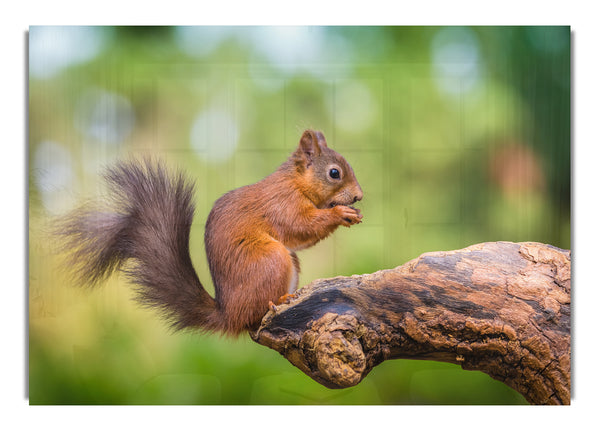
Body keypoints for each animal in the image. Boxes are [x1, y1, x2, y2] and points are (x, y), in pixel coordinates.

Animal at [58, 130, 364, 336]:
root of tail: (228, 315)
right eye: (334, 173)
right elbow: (301, 226)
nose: (359, 197)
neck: (296, 182)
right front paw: (341, 214)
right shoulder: (283, 205)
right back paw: (279, 301)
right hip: (270, 259)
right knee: (255, 317)